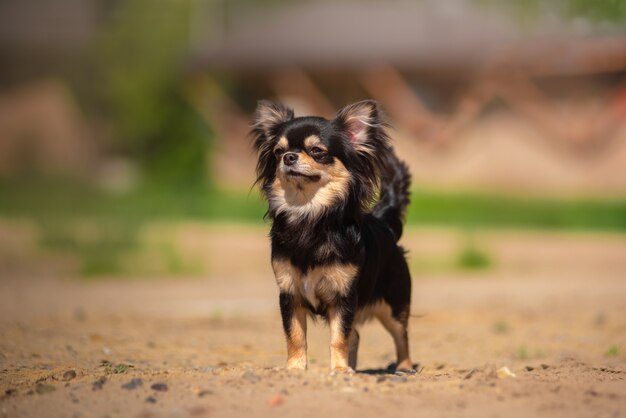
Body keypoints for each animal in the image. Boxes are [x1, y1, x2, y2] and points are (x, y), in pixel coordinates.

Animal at [251, 99, 412, 372]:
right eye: (278, 152)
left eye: (316, 150)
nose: (289, 157)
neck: (309, 214)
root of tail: (383, 223)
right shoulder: (290, 294)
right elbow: (295, 336)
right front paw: (296, 369)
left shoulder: (343, 296)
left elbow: (339, 337)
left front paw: (338, 370)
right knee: (356, 335)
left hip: (394, 305)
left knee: (402, 336)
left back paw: (403, 367)